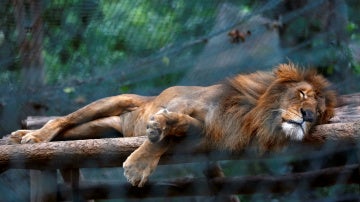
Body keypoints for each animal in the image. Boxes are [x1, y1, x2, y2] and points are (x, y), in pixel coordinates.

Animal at [8, 63, 334, 188]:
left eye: (320, 112)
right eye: (302, 94)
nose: (308, 116)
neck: (253, 114)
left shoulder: (208, 132)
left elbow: (176, 133)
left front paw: (159, 133)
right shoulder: (183, 102)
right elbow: (164, 133)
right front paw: (140, 162)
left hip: (98, 129)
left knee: (68, 133)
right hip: (111, 102)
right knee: (61, 120)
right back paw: (31, 137)